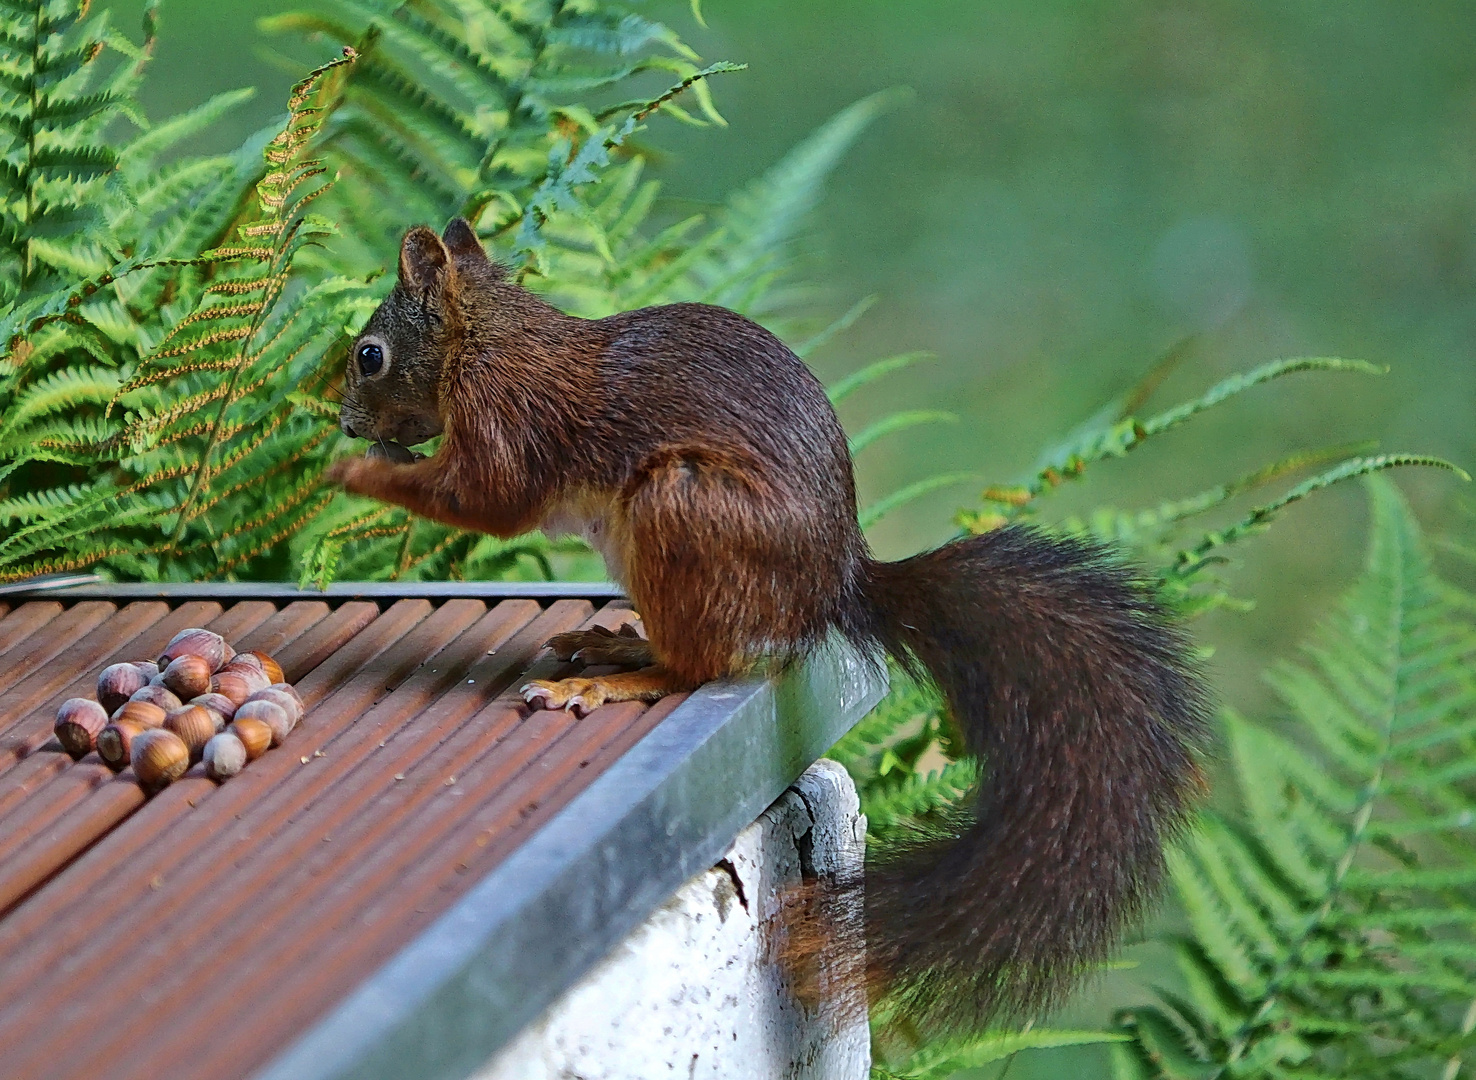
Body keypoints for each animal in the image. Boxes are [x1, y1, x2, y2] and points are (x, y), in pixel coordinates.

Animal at [332, 216, 1210, 1026]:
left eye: (369, 355)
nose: (342, 423)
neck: (485, 335)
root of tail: (834, 586)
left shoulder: (507, 415)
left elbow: (488, 498)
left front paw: (355, 473)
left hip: (681, 511)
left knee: (697, 666)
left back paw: (616, 680)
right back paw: (613, 640)